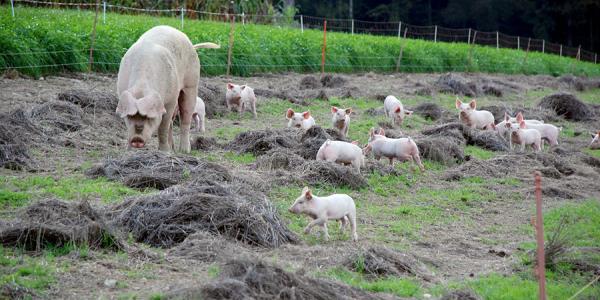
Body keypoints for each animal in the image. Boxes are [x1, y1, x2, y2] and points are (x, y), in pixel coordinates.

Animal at [115, 24, 218, 152]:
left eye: (150, 117)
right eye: (130, 116)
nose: (137, 139)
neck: (142, 87)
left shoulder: (170, 101)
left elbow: (163, 126)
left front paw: (164, 152)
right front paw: (129, 151)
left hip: (191, 84)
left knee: (185, 118)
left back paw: (183, 150)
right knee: (172, 124)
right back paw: (172, 148)